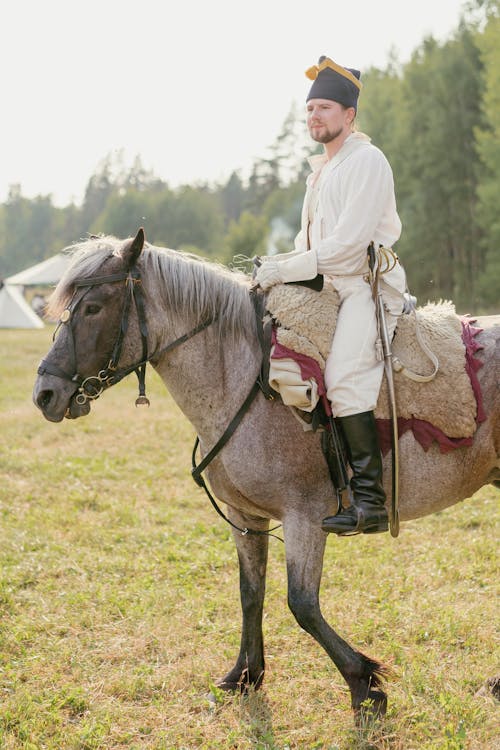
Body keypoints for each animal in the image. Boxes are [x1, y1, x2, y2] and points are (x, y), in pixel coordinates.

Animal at [33, 231, 498, 724]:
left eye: (93, 307)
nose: (45, 393)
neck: (243, 380)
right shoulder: (245, 518)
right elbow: (250, 592)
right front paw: (245, 675)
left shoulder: (305, 518)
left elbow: (302, 604)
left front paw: (364, 683)